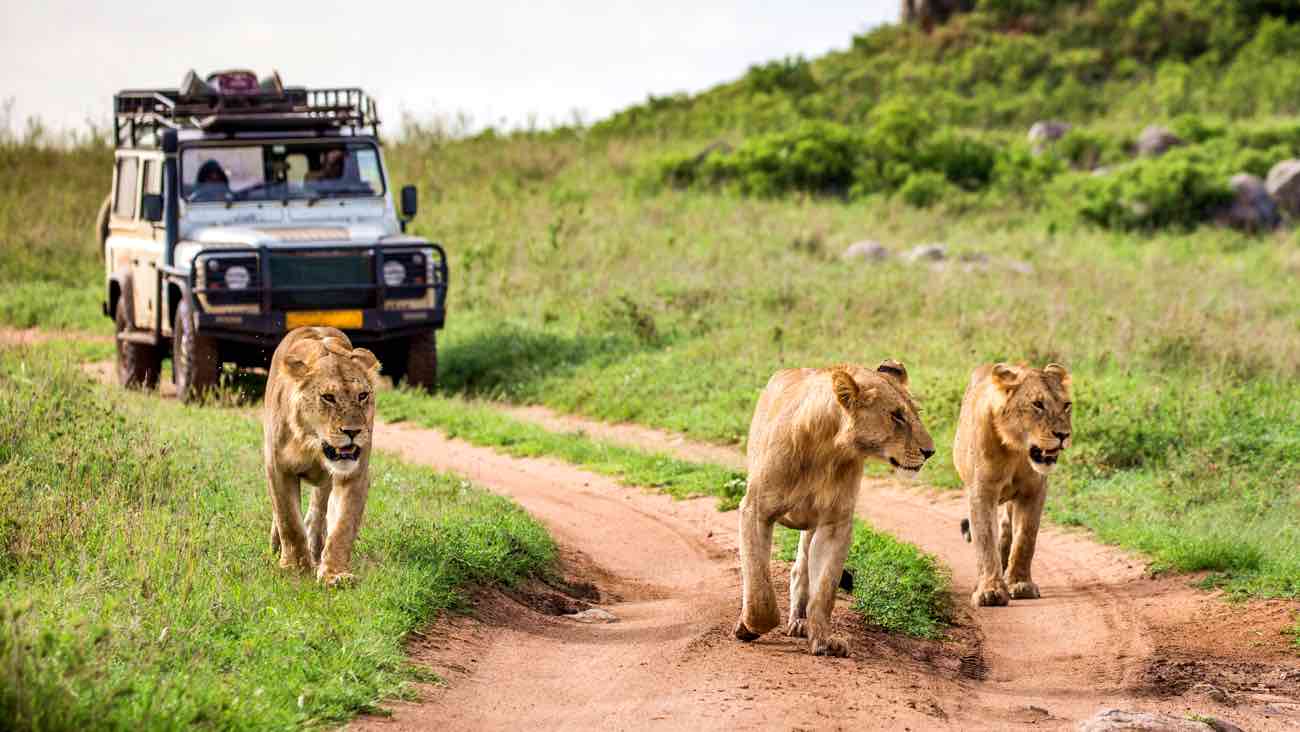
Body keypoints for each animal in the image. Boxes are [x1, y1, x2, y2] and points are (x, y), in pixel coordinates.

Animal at [263, 328, 379, 587]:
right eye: (328, 397)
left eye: (362, 395)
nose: (353, 431)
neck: (313, 444)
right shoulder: (278, 467)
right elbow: (288, 520)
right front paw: (295, 567)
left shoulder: (354, 473)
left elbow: (343, 525)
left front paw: (335, 574)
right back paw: (277, 546)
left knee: (318, 512)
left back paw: (316, 548)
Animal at [733, 364, 935, 655]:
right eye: (896, 416)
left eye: (915, 412)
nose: (930, 451)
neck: (828, 449)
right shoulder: (756, 511)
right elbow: (760, 587)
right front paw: (748, 627)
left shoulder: (835, 524)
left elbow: (824, 590)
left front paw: (824, 640)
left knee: (801, 570)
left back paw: (799, 621)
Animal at [951, 361, 1071, 608]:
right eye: (1037, 405)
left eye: (1067, 405)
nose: (1064, 435)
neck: (1017, 450)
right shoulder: (982, 490)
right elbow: (985, 539)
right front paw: (990, 591)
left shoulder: (1034, 491)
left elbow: (1026, 538)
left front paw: (1020, 584)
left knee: (1007, 527)